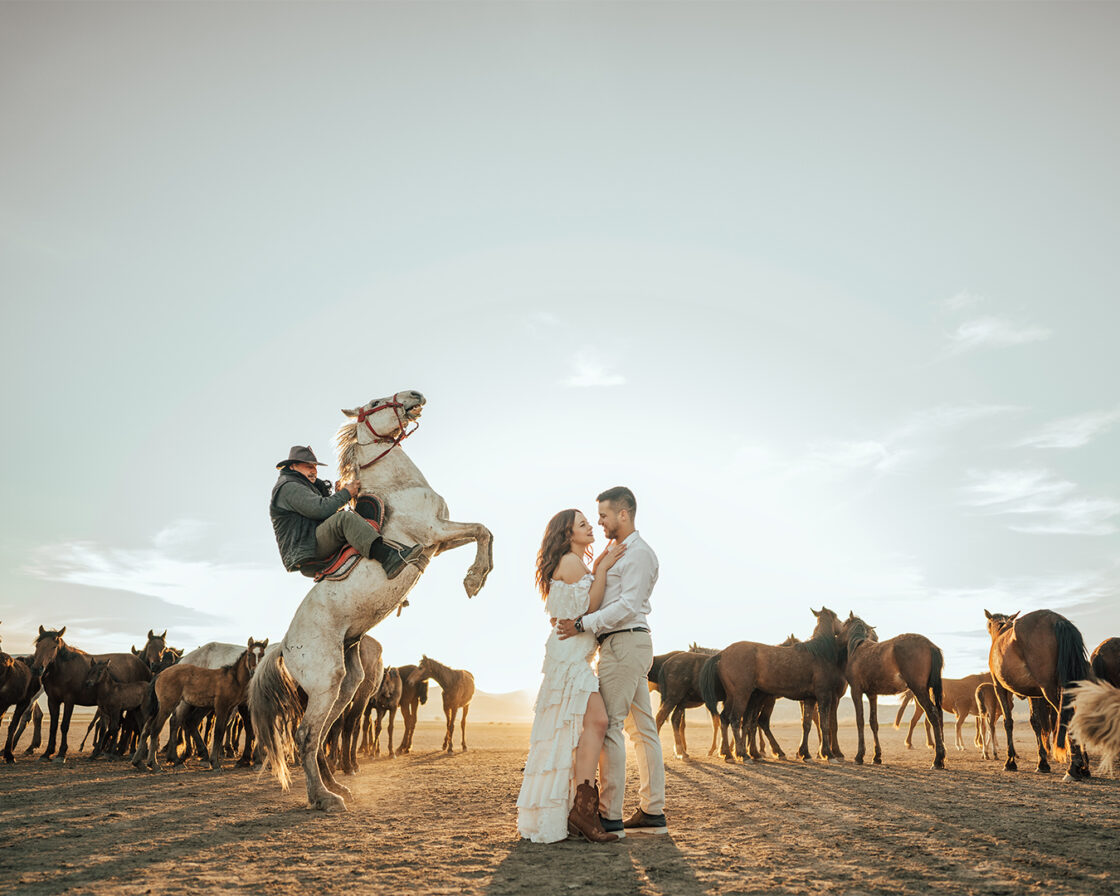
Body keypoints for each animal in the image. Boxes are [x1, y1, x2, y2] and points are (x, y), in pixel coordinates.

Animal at [132, 636, 266, 770]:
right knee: (160, 727)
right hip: (170, 706)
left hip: (163, 707)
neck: (232, 678)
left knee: (148, 728)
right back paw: (156, 763)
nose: (255, 672)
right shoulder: (222, 706)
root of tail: (160, 674)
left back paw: (141, 761)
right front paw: (215, 762)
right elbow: (219, 731)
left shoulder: (230, 709)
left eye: (263, 655)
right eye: (250, 654)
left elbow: (225, 730)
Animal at [249, 387, 495, 806]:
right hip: (326, 682)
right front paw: (474, 580)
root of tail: (283, 645)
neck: (399, 488)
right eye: (377, 402)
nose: (415, 394)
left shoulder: (441, 542)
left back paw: (335, 786)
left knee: (324, 734)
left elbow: (484, 532)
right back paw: (323, 798)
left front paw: (478, 575)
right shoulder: (434, 532)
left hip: (347, 684)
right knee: (307, 735)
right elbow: (481, 528)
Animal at [694, 604, 842, 761]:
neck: (819, 653)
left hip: (733, 697)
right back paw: (742, 754)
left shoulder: (810, 698)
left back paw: (728, 753)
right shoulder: (823, 695)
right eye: (838, 618)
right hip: (742, 695)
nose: (842, 626)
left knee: (725, 719)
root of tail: (722, 653)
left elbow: (806, 724)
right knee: (735, 719)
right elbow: (824, 724)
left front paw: (805, 753)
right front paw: (828, 754)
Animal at [842, 618, 945, 770]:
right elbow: (873, 722)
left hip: (919, 690)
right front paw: (877, 757)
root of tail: (930, 645)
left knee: (932, 714)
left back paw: (937, 760)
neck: (858, 649)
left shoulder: (856, 691)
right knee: (937, 713)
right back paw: (941, 758)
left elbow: (860, 721)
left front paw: (859, 756)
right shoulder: (872, 694)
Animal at [985, 604, 1088, 779]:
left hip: (1051, 690)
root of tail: (1057, 620)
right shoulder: (1034, 694)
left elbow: (1008, 722)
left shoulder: (1000, 688)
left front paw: (1010, 762)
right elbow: (1036, 723)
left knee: (1067, 717)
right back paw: (1084, 767)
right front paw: (1042, 763)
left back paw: (1073, 768)